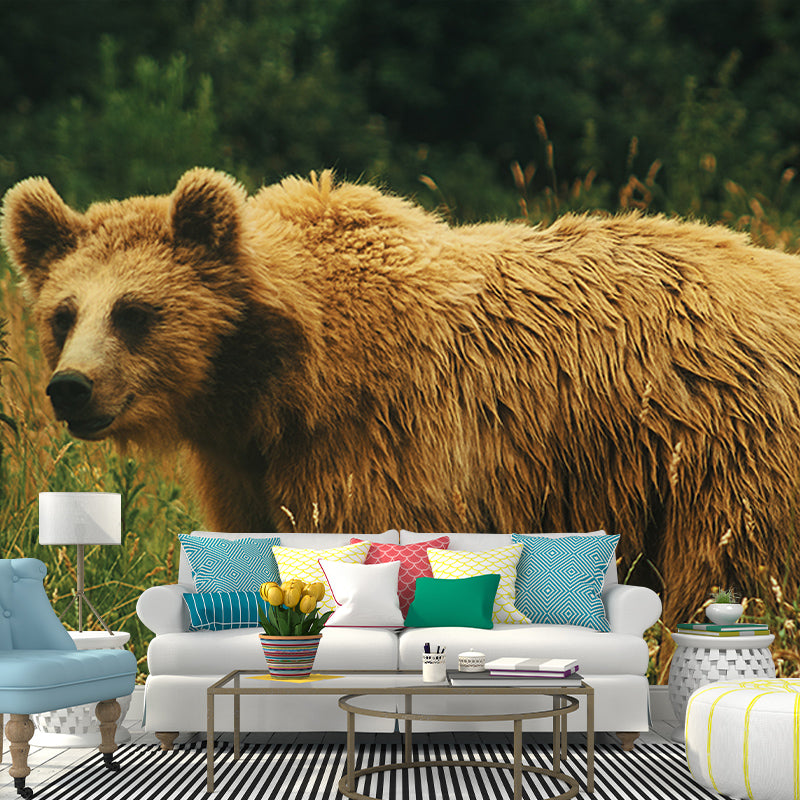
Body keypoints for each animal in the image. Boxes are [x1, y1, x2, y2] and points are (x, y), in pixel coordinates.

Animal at [3, 167, 800, 638]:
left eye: (135, 312)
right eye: (64, 313)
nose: (71, 387)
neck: (272, 382)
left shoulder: (377, 440)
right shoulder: (247, 465)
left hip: (724, 443)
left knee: (739, 571)